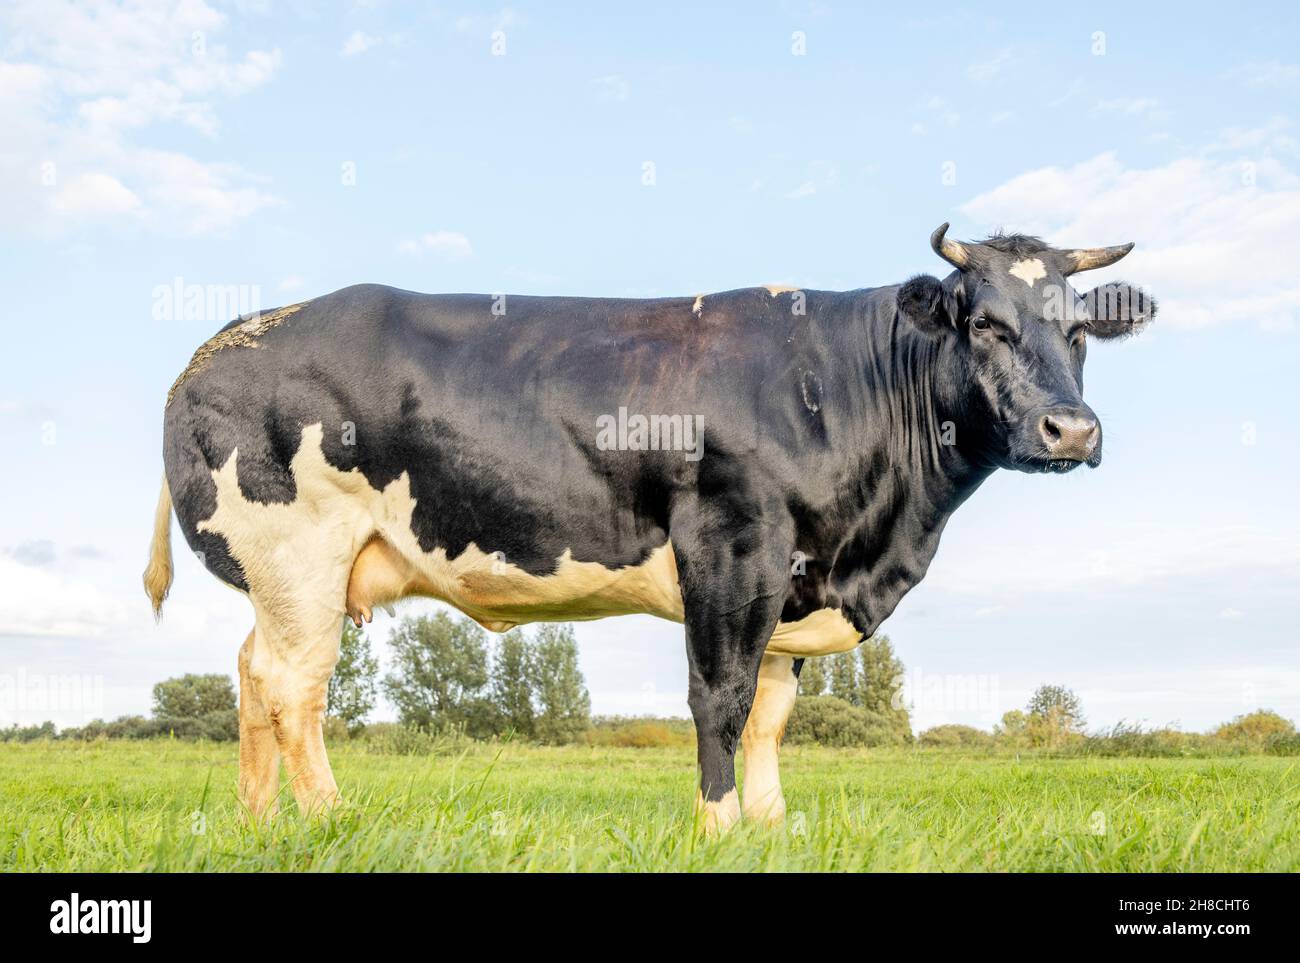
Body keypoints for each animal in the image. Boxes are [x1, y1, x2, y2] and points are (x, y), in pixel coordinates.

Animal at [144, 223, 1159, 826]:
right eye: (983, 322)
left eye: (1078, 329)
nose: (1071, 429)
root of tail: (224, 339)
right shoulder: (732, 544)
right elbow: (722, 697)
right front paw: (717, 825)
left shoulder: (793, 577)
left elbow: (771, 714)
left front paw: (769, 825)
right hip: (301, 555)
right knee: (293, 686)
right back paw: (328, 815)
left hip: (286, 578)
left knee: (252, 676)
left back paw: (261, 820)